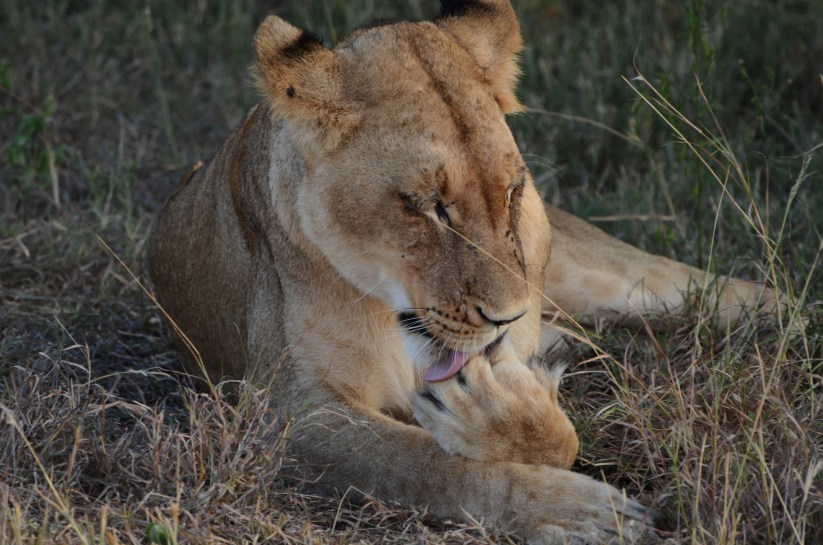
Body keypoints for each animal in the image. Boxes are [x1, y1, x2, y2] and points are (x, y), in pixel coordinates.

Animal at [147, 1, 780, 542]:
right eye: (431, 207)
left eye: (513, 193)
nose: (510, 318)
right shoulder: (288, 416)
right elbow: (428, 466)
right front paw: (580, 510)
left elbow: (549, 436)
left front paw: (507, 412)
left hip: (615, 281)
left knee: (746, 293)